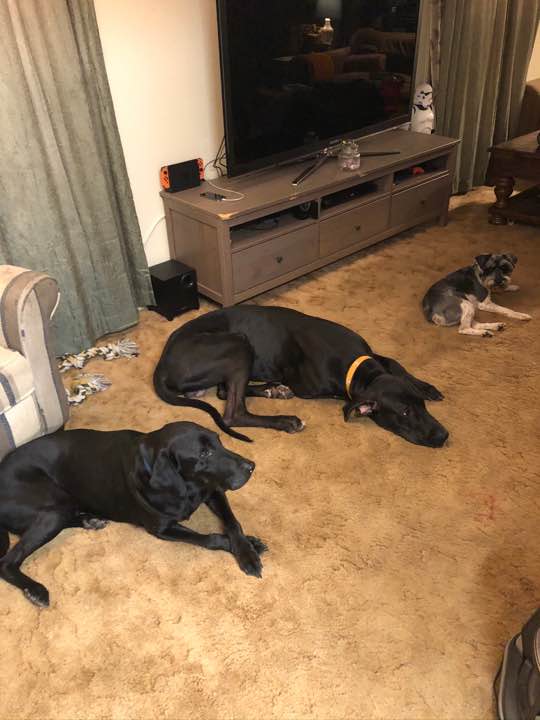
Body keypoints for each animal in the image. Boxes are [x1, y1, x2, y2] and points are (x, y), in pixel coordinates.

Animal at [0, 422, 266, 608]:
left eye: (219, 441)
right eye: (203, 454)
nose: (251, 466)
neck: (186, 486)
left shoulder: (214, 491)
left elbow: (233, 523)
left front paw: (247, 549)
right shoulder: (161, 528)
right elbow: (209, 538)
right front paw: (246, 549)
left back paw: (90, 520)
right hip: (52, 509)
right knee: (6, 562)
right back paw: (36, 590)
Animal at [154, 306, 448, 448]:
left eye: (421, 404)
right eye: (405, 413)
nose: (444, 435)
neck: (359, 369)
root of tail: (161, 363)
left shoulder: (372, 356)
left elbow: (396, 364)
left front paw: (426, 386)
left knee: (224, 392)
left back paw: (274, 389)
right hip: (237, 344)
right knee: (233, 411)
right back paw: (285, 419)